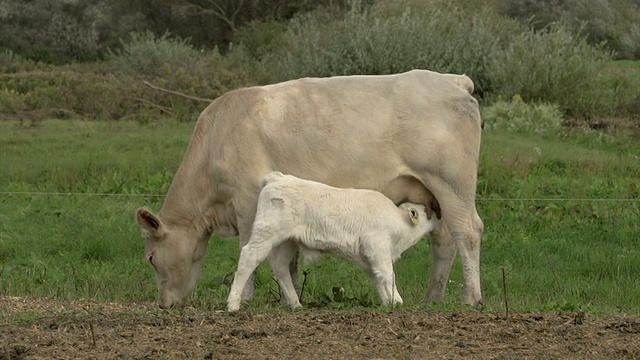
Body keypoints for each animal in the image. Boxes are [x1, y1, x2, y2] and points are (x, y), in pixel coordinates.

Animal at [226, 172, 440, 312]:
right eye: (424, 210)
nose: (439, 214)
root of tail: (276, 178)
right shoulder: (377, 247)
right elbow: (388, 275)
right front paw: (398, 301)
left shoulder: (368, 258)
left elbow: (378, 277)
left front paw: (388, 303)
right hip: (266, 232)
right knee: (248, 257)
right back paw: (233, 304)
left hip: (287, 241)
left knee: (280, 267)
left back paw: (296, 304)